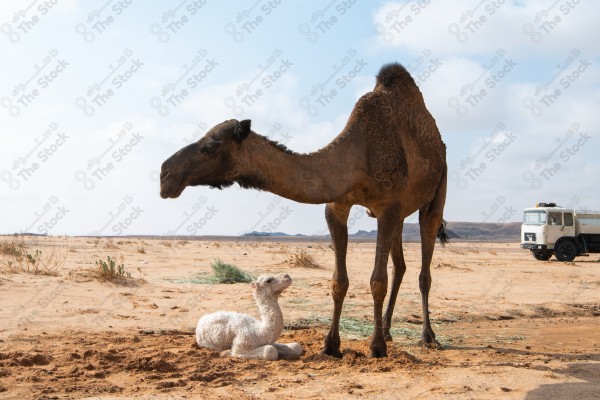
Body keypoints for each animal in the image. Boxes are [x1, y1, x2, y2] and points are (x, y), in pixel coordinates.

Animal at [159, 64, 446, 358]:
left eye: (210, 146)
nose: (165, 173)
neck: (359, 156)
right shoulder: (337, 207)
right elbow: (338, 281)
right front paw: (331, 345)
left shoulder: (387, 207)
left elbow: (378, 281)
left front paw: (375, 347)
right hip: (399, 215)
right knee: (400, 267)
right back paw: (388, 330)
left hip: (435, 194)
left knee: (424, 267)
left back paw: (427, 336)